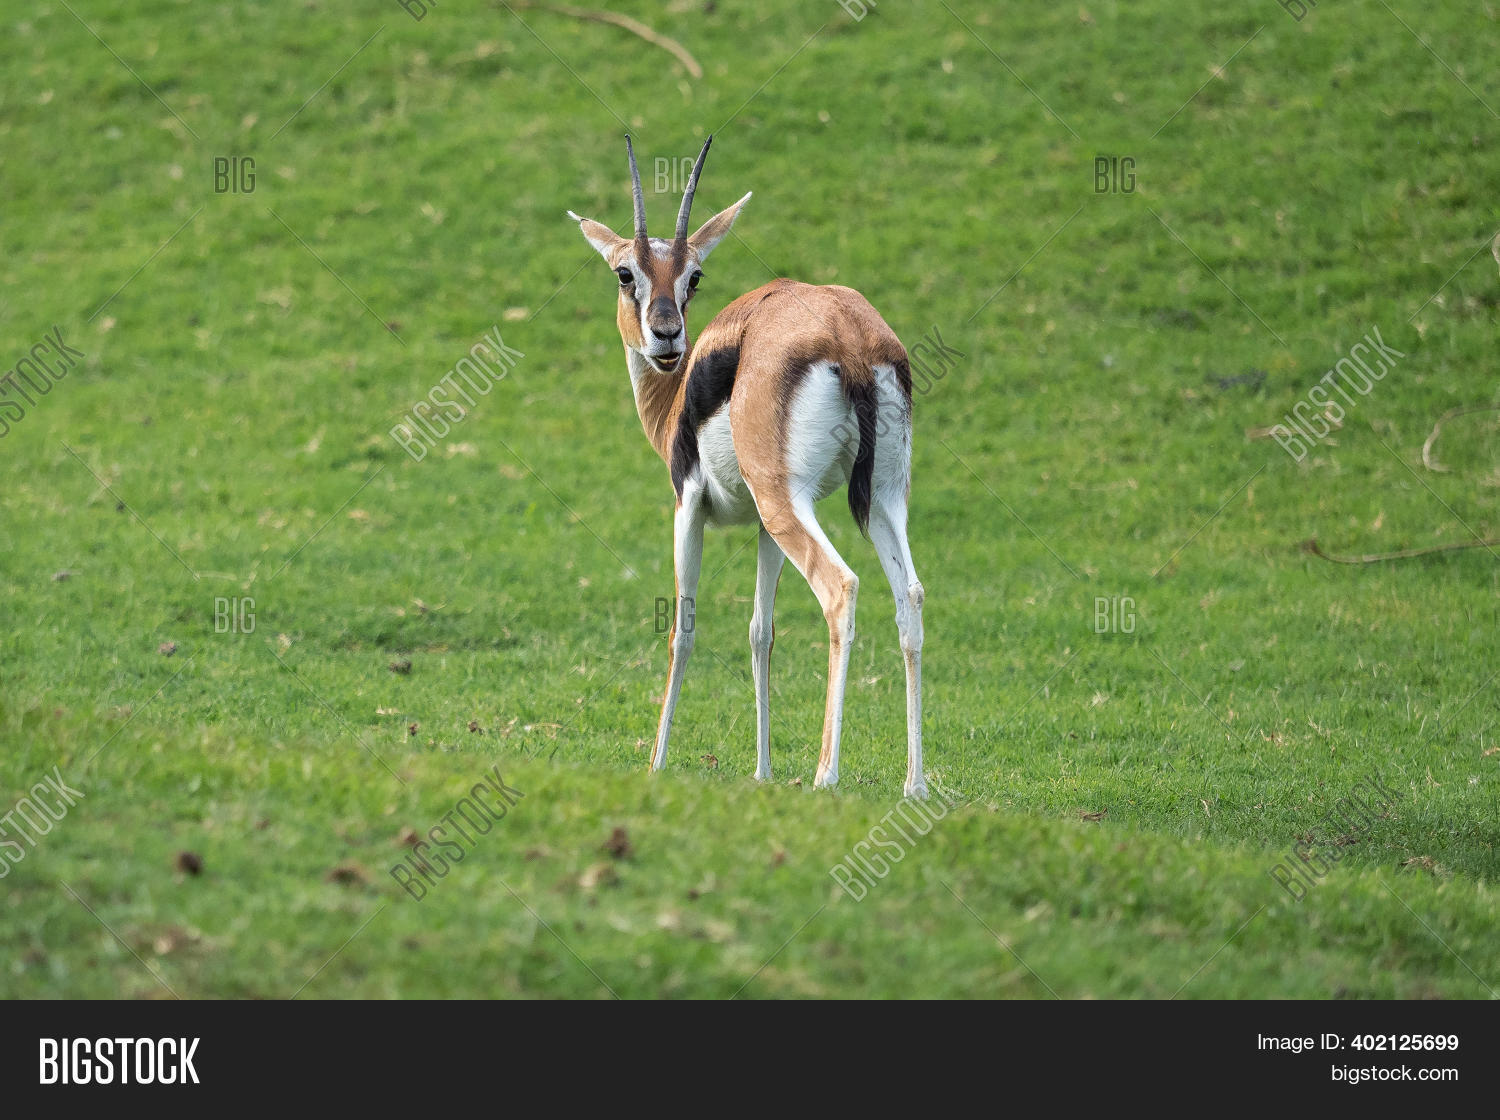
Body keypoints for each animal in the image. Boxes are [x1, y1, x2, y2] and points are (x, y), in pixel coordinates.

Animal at [568, 135, 926, 798]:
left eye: (694, 275)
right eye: (627, 274)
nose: (665, 335)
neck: (682, 393)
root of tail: (849, 336)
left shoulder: (688, 506)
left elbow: (682, 627)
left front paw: (656, 763)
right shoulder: (761, 528)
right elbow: (762, 632)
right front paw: (762, 772)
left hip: (791, 504)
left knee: (841, 588)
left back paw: (826, 775)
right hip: (882, 498)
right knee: (909, 596)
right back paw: (915, 785)